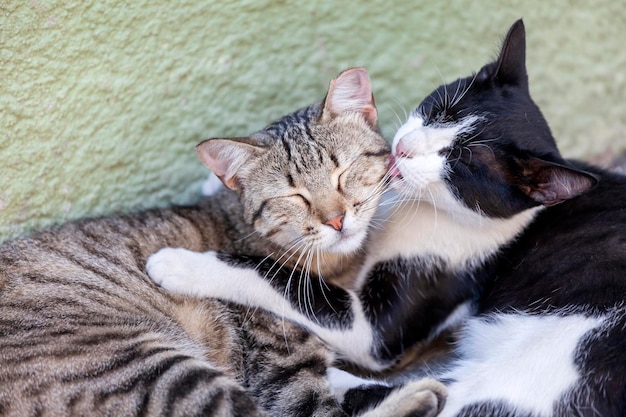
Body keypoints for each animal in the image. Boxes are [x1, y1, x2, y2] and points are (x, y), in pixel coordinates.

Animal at [0, 68, 444, 416]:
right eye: (294, 196)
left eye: (344, 171)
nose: (336, 219)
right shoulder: (281, 367)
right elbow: (315, 404)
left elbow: (342, 379)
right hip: (149, 370)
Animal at [147, 20, 624, 416]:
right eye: (438, 110)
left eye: (460, 163)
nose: (405, 149)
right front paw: (221, 181)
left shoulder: (380, 325)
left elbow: (282, 281)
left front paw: (181, 264)